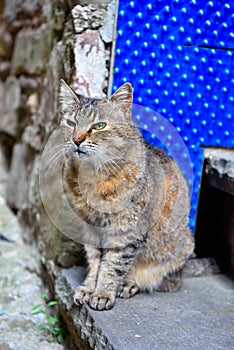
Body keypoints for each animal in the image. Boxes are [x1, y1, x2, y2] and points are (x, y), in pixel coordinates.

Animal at [58, 80, 194, 312]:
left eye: (99, 126)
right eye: (70, 122)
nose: (76, 139)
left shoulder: (127, 231)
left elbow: (111, 266)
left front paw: (102, 293)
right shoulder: (90, 227)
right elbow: (95, 262)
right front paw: (88, 288)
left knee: (165, 280)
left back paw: (130, 283)